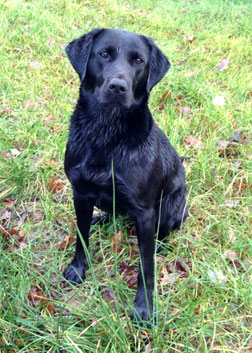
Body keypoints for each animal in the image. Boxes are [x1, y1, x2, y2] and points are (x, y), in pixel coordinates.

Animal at [64, 28, 188, 324]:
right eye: (103, 54)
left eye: (138, 61)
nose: (118, 86)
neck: (106, 135)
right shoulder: (80, 193)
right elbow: (81, 237)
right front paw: (78, 269)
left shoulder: (144, 212)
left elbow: (146, 265)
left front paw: (144, 308)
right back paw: (101, 218)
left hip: (170, 209)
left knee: (162, 233)